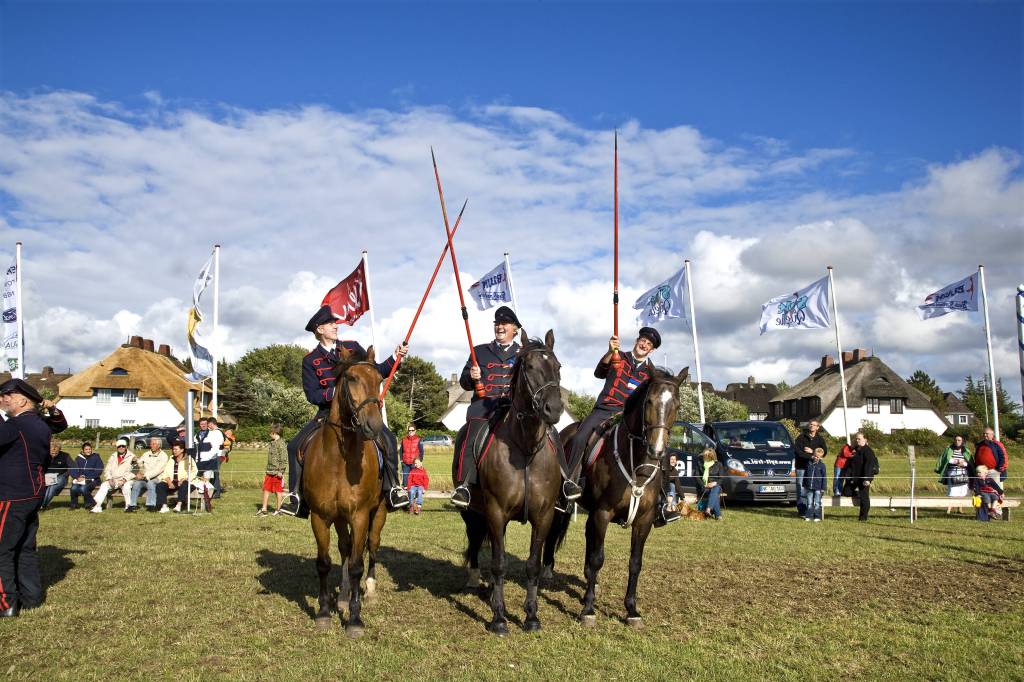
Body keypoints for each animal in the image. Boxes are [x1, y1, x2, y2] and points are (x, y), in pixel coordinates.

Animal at [303, 346, 387, 638]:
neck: (340, 460)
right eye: (351, 378)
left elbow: (357, 565)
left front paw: (354, 619)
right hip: (339, 519)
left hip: (378, 513)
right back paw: (342, 596)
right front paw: (324, 611)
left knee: (372, 546)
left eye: (380, 380)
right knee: (346, 547)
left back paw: (369, 590)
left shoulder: (360, 515)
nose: (373, 426)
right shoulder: (320, 516)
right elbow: (324, 562)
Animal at [460, 327, 565, 630]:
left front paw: (531, 615)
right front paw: (498, 616)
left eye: (558, 367)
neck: (525, 449)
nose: (554, 409)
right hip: (472, 512)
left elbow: (532, 564)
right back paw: (474, 579)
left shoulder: (544, 516)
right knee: (475, 540)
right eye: (529, 367)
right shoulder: (495, 512)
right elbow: (499, 564)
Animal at [544, 366, 688, 626]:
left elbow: (635, 563)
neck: (638, 465)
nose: (657, 450)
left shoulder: (644, 520)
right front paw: (589, 610)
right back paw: (548, 570)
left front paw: (631, 610)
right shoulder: (603, 513)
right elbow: (598, 558)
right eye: (649, 401)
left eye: (677, 404)